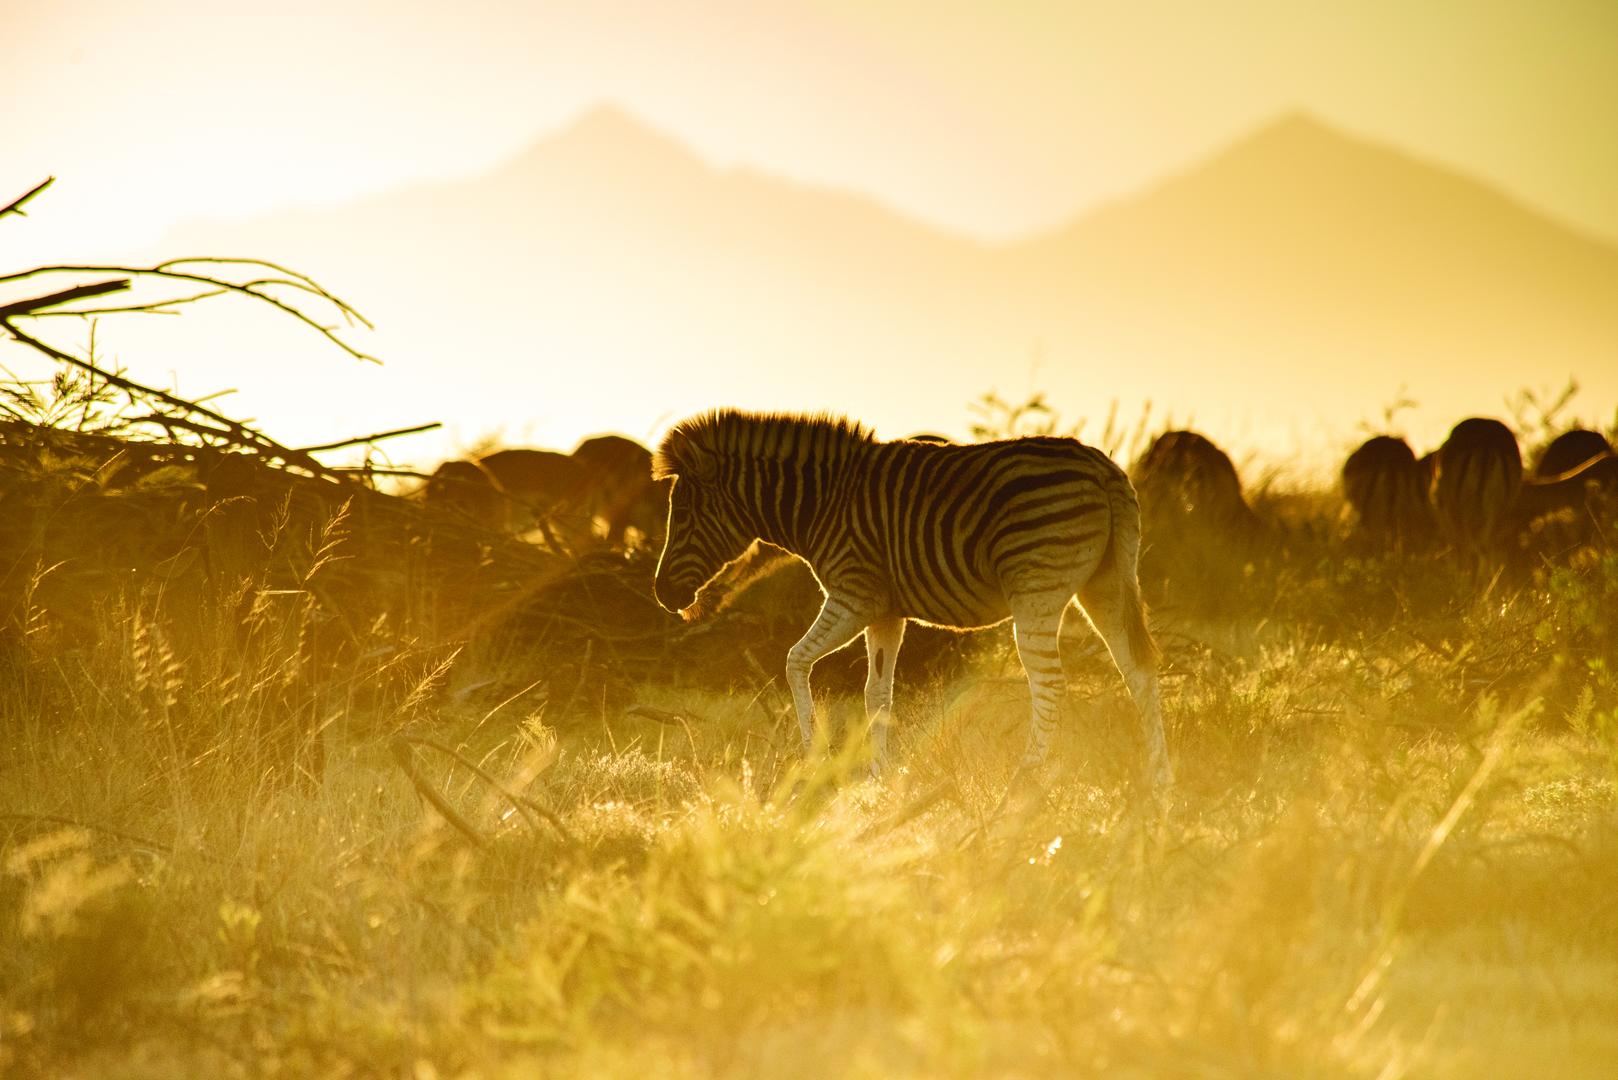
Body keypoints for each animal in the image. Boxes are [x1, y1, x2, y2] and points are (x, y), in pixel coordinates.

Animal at [650, 411, 1169, 787]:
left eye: (686, 512)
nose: (660, 593)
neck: (824, 503)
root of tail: (1103, 467)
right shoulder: (886, 613)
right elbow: (877, 692)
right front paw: (880, 777)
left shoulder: (854, 595)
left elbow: (795, 661)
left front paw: (813, 758)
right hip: (1104, 584)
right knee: (1137, 670)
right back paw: (1159, 784)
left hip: (1037, 591)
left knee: (1051, 685)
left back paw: (1026, 779)